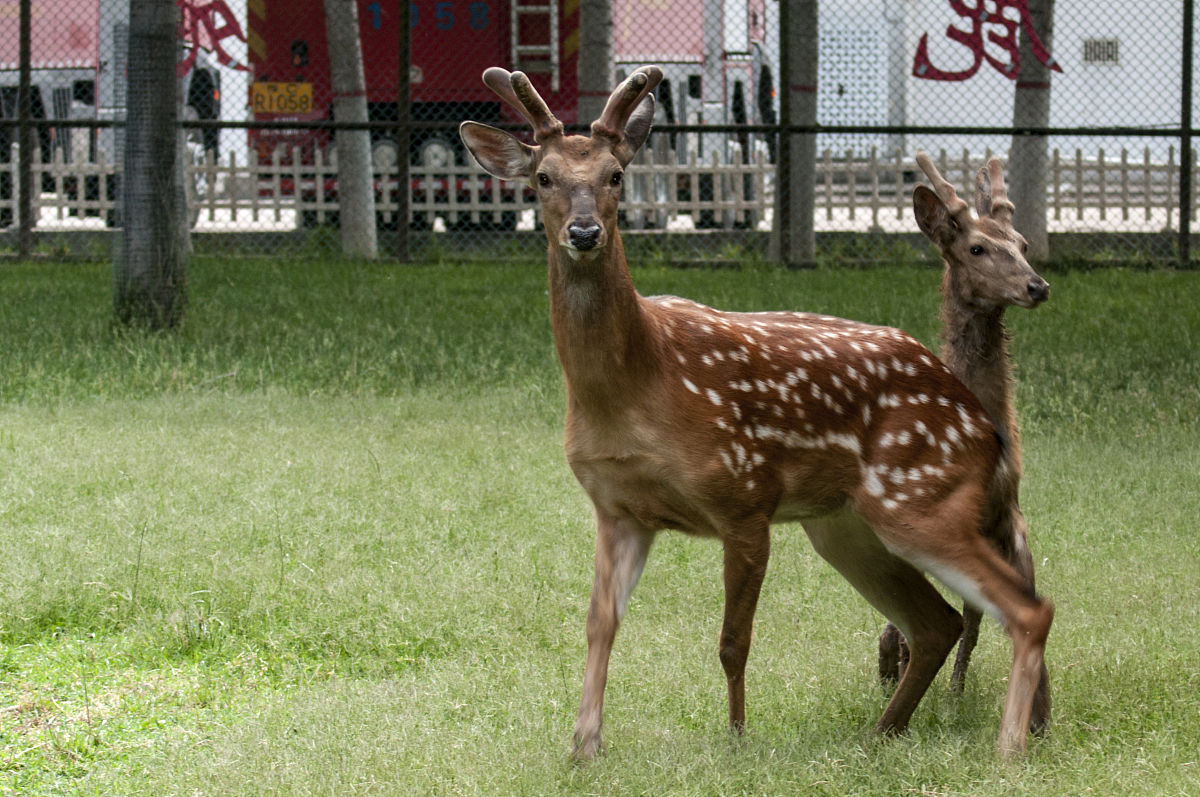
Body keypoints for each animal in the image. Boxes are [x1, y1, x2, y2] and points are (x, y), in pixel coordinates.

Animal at [873, 151, 1051, 734]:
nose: (1037, 286)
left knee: (971, 621)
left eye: (1022, 243)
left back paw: (950, 689)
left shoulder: (1010, 520)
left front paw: (1040, 715)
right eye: (976, 248)